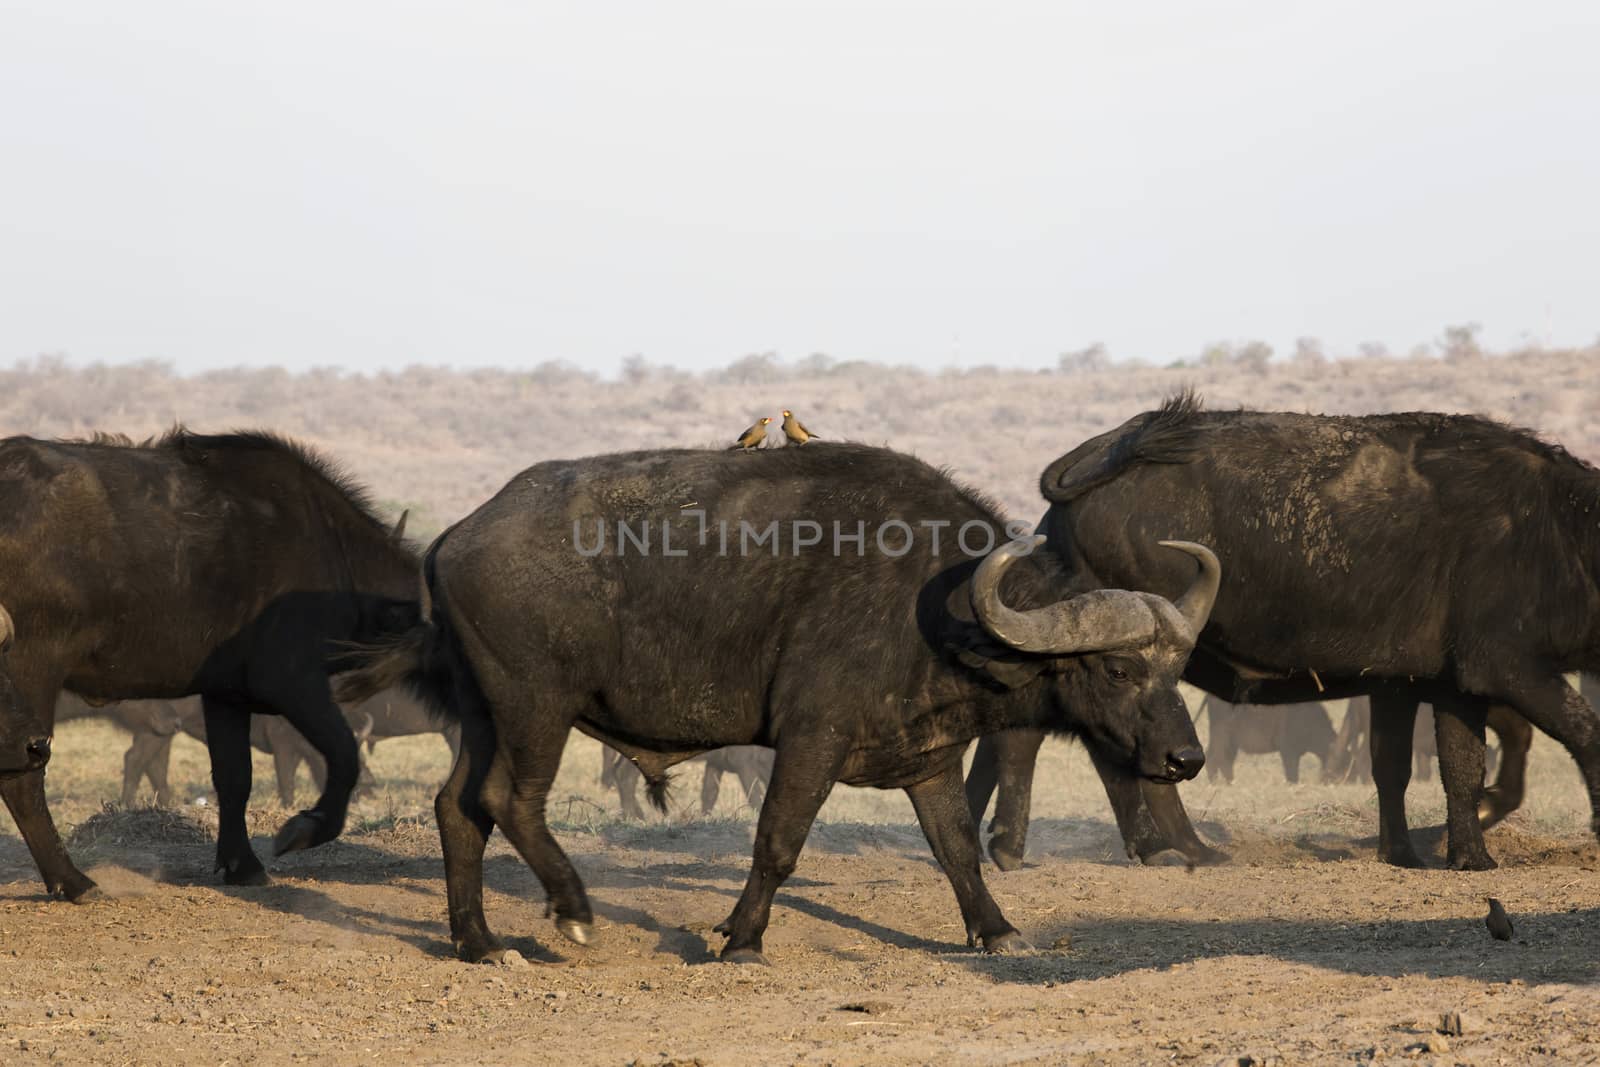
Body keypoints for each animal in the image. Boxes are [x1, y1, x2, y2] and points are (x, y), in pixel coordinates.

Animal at [0, 428, 419, 895]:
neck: (335, 551)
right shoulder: (293, 680)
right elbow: (344, 755)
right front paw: (303, 830)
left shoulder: (225, 694)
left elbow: (234, 778)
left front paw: (242, 864)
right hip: (31, 668)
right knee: (23, 774)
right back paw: (72, 881)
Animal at [337, 447, 1209, 966]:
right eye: (1119, 666)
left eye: (1178, 667)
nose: (1186, 758)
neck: (936, 604)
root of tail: (456, 536)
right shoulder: (810, 740)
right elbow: (778, 843)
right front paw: (743, 937)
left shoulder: (927, 759)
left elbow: (956, 848)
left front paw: (996, 930)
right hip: (535, 707)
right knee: (508, 799)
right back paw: (573, 909)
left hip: (483, 714)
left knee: (457, 807)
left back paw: (479, 942)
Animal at [966, 396, 1600, 870]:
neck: (1561, 528)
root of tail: (1112, 449)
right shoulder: (1509, 669)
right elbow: (1581, 735)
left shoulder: (1433, 683)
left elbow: (1439, 768)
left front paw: (1451, 855)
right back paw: (1170, 848)